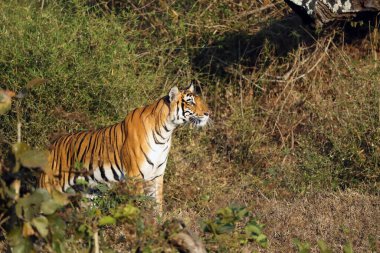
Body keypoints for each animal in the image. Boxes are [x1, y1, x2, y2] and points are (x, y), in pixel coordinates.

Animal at [38, 84, 209, 212]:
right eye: (190, 102)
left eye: (200, 100)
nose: (208, 113)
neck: (166, 132)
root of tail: (51, 145)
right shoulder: (135, 177)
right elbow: (137, 207)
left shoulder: (156, 177)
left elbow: (157, 207)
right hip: (49, 190)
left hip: (89, 194)